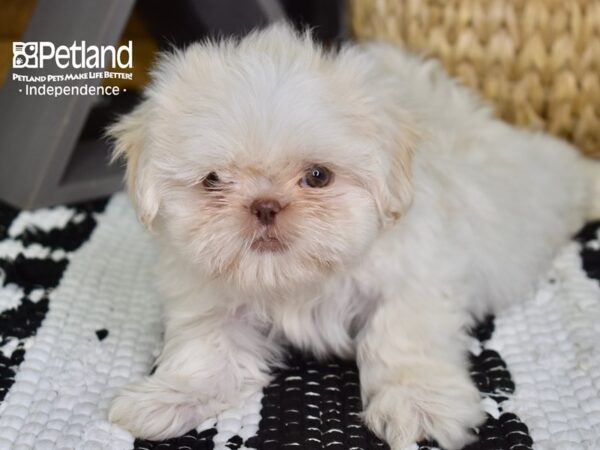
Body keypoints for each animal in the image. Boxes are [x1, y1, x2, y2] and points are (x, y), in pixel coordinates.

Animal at [108, 24, 600, 450]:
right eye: (213, 180)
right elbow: (207, 352)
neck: (296, 280)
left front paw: (417, 404)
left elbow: (399, 336)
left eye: (318, 176)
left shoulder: (415, 279)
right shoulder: (209, 296)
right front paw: (167, 397)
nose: (265, 206)